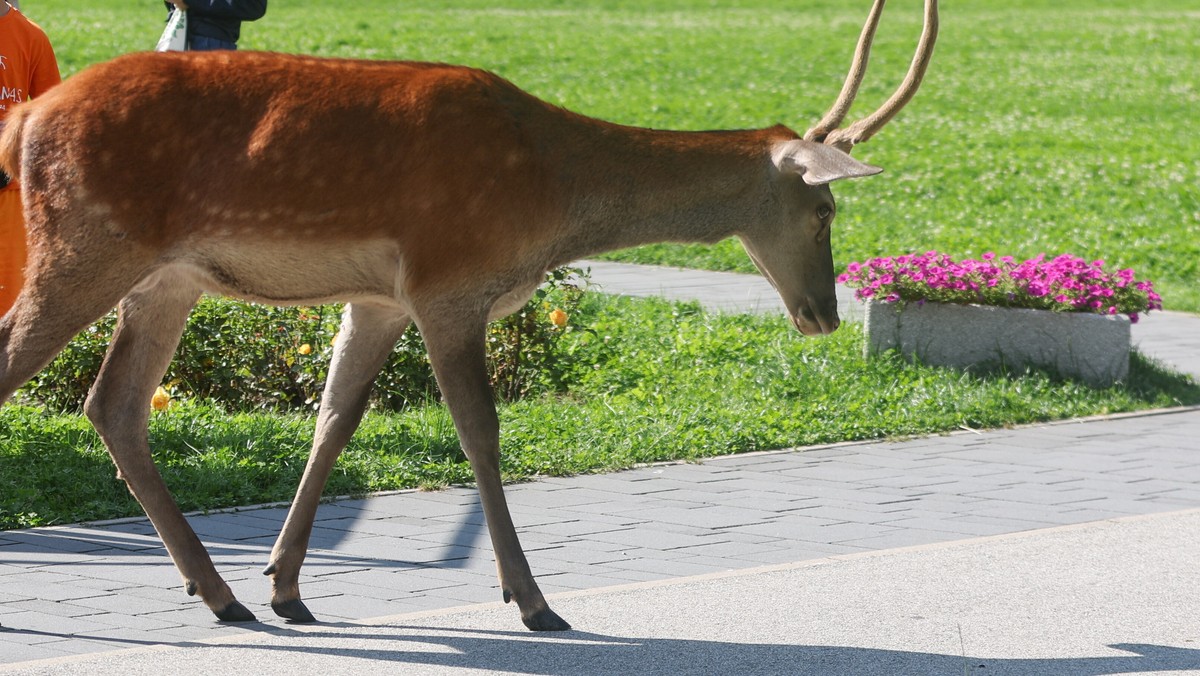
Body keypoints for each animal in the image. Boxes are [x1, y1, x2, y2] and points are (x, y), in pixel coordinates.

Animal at [0, 1, 936, 633]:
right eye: (824, 212)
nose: (823, 315)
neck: (552, 196)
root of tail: (27, 118)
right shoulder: (451, 281)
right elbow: (480, 431)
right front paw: (534, 601)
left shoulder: (381, 295)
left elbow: (334, 416)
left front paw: (287, 586)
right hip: (88, 243)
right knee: (36, 374)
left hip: (166, 278)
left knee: (113, 405)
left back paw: (223, 595)